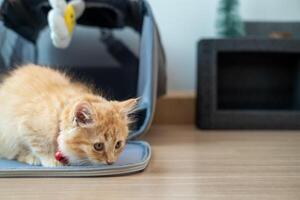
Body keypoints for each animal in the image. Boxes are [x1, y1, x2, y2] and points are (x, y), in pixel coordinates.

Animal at [0, 64, 136, 167]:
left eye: (118, 144)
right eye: (98, 146)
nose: (111, 162)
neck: (59, 115)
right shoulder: (26, 126)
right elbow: (40, 146)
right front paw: (50, 160)